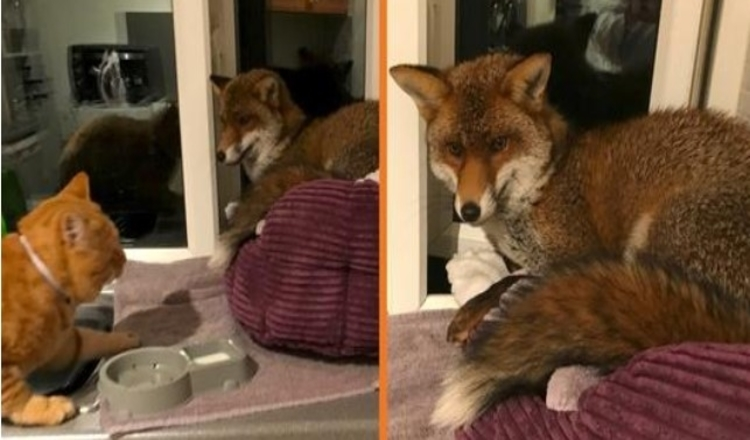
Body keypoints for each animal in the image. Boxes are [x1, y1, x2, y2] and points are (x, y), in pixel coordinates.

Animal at [1, 173, 140, 426]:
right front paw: (43, 408)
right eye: (113, 251)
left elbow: (94, 339)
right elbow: (15, 395)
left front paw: (124, 337)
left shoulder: (61, 343)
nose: (126, 258)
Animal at [390, 52, 750, 430]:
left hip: (654, 234)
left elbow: (507, 282)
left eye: (499, 144)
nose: (468, 210)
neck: (543, 185)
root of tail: (735, 326)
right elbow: (508, 274)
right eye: (455, 149)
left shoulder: (579, 252)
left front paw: (470, 312)